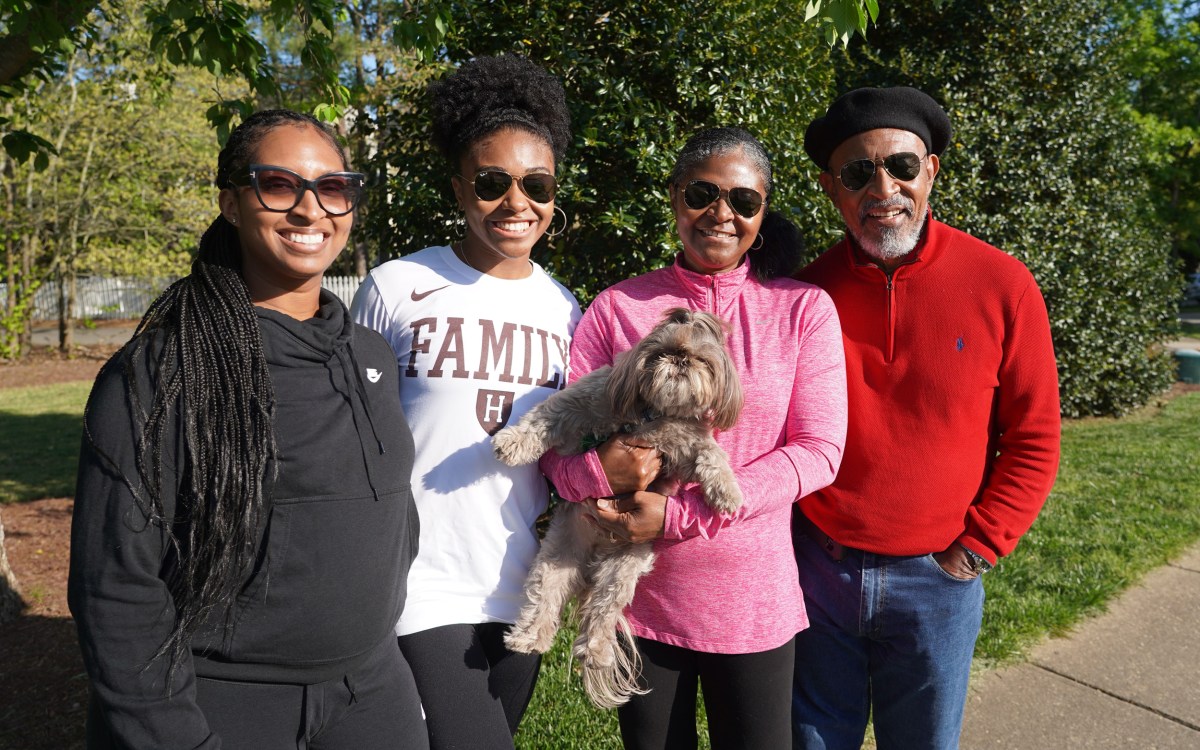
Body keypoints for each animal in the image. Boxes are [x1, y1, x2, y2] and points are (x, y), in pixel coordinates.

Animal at [492, 307, 744, 705]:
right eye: (661, 351)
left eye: (702, 359)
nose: (680, 360)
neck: (653, 414)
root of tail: (592, 560)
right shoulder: (586, 400)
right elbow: (543, 418)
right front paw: (511, 443)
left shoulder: (686, 446)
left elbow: (712, 456)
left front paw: (727, 491)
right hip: (556, 558)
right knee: (543, 599)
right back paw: (528, 638)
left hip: (623, 569)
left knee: (603, 610)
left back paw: (595, 651)